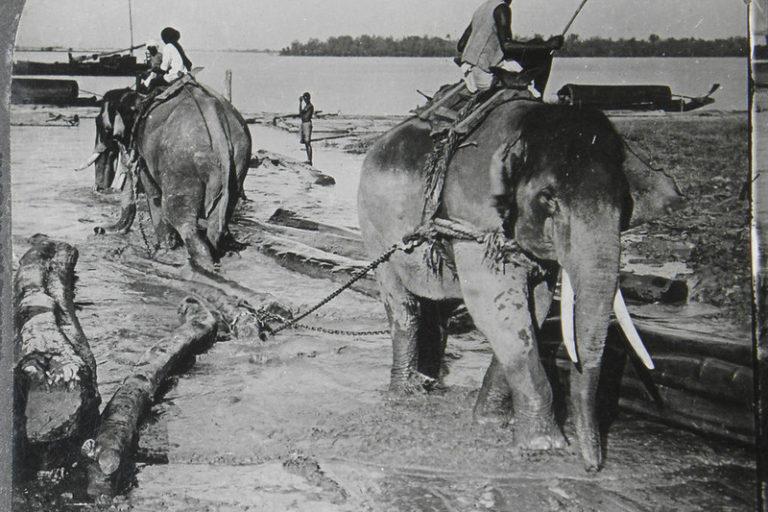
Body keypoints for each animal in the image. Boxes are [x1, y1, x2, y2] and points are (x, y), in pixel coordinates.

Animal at [356, 100, 680, 472]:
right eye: (549, 199)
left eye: (624, 203)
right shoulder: (474, 216)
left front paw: (491, 421)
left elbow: (536, 307)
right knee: (403, 306)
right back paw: (405, 393)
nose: (592, 467)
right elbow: (496, 307)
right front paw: (544, 446)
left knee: (436, 311)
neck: (528, 127)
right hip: (373, 229)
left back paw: (429, 383)